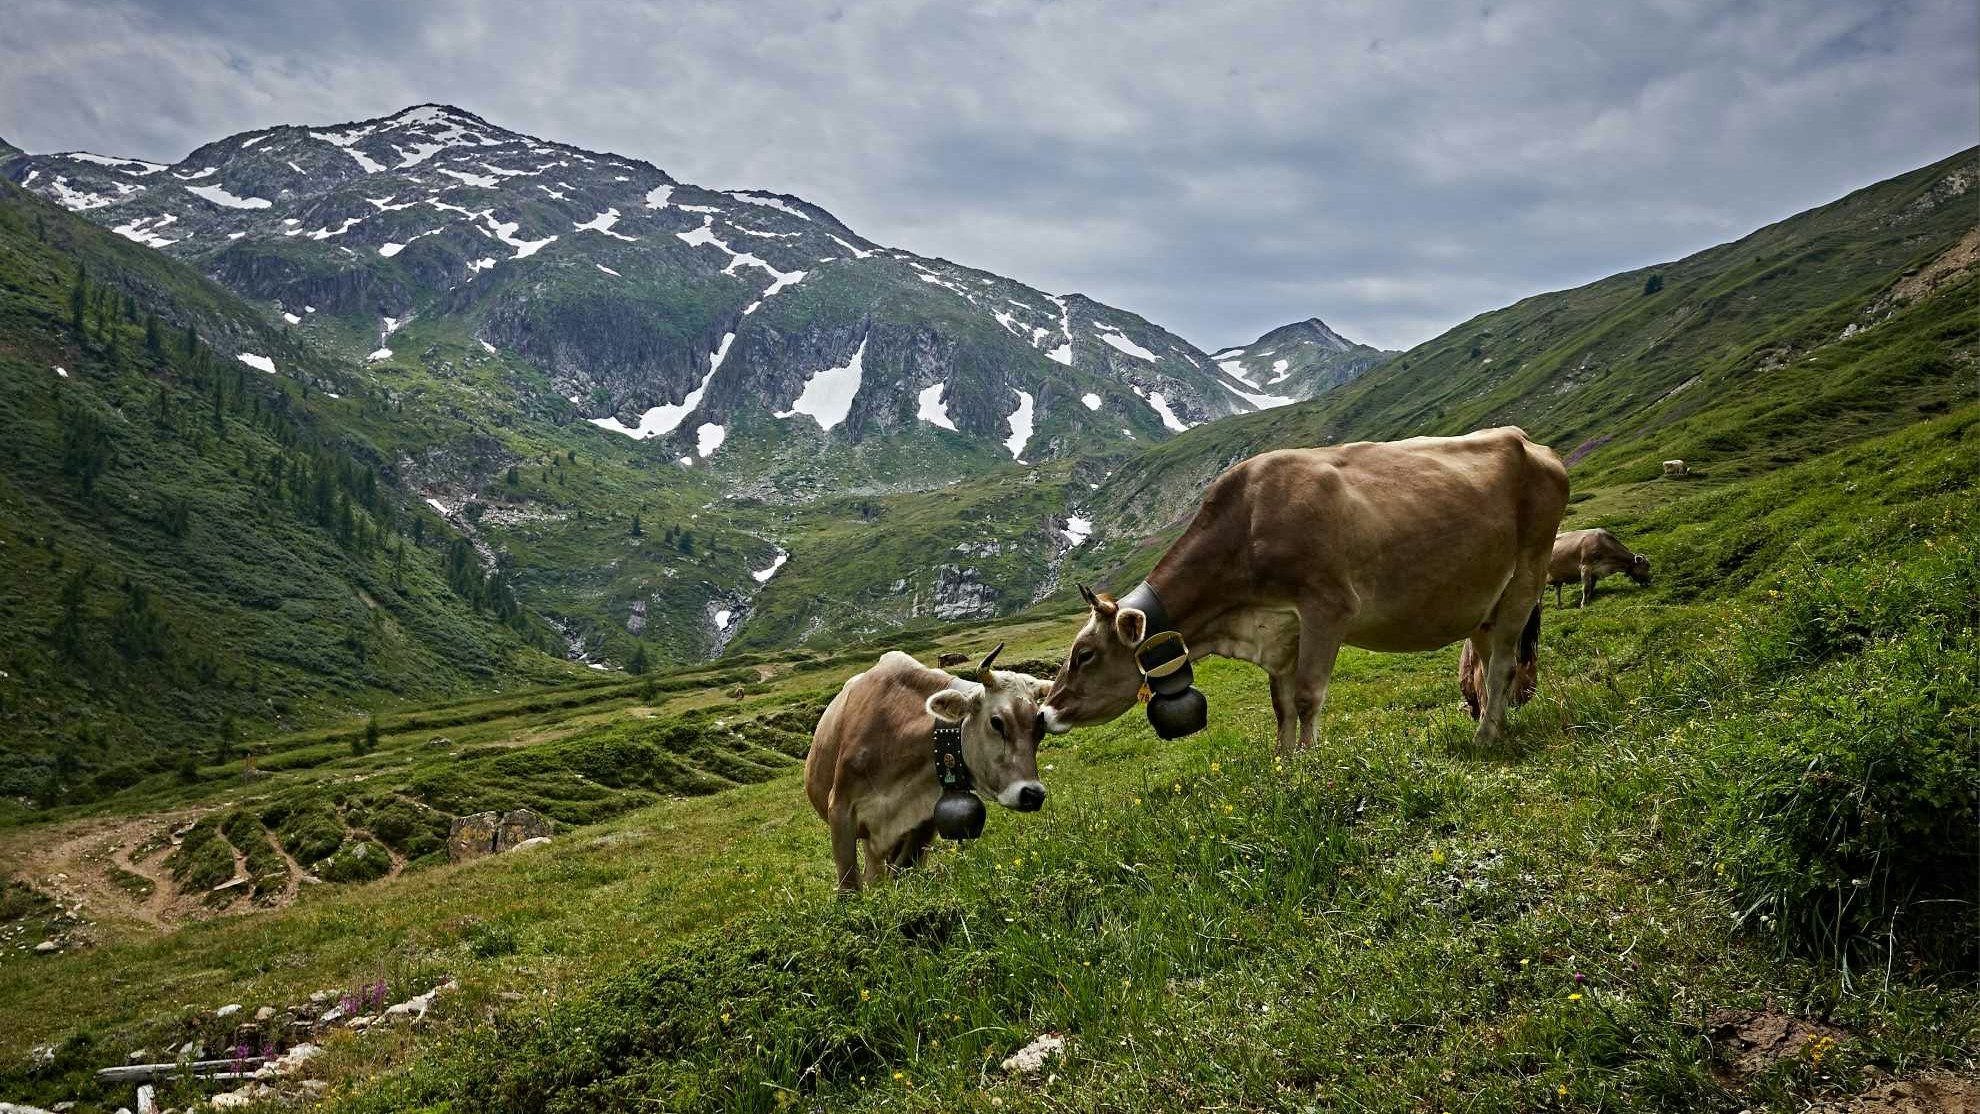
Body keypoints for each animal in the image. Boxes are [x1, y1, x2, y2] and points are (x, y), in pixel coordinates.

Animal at [799, 649, 1053, 894]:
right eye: (996, 722)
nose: (1033, 794)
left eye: (1041, 730)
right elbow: (849, 886)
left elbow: (902, 870)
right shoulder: (840, 809)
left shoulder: (924, 822)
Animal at [1045, 427, 1568, 747]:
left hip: (1526, 579)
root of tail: (1528, 441)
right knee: (1484, 665)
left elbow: (1306, 696)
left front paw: (1311, 765)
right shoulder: (1281, 630)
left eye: (1084, 654)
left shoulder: (1326, 608)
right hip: (1484, 601)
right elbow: (1281, 706)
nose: (1046, 714)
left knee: (1502, 665)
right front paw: (1286, 766)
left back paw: (1485, 738)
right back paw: (1492, 725)